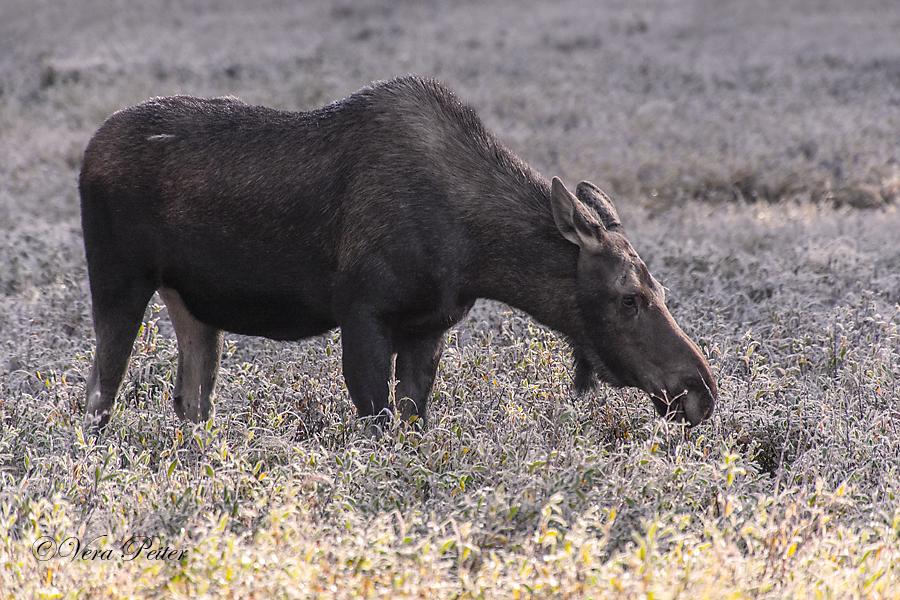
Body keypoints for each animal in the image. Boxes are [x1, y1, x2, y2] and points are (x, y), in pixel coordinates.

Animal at [82, 76, 716, 432]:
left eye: (661, 290)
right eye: (629, 298)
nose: (701, 390)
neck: (475, 255)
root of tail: (90, 152)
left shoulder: (427, 326)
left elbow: (412, 424)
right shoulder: (364, 314)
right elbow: (377, 425)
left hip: (194, 304)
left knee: (191, 402)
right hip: (118, 280)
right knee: (97, 395)